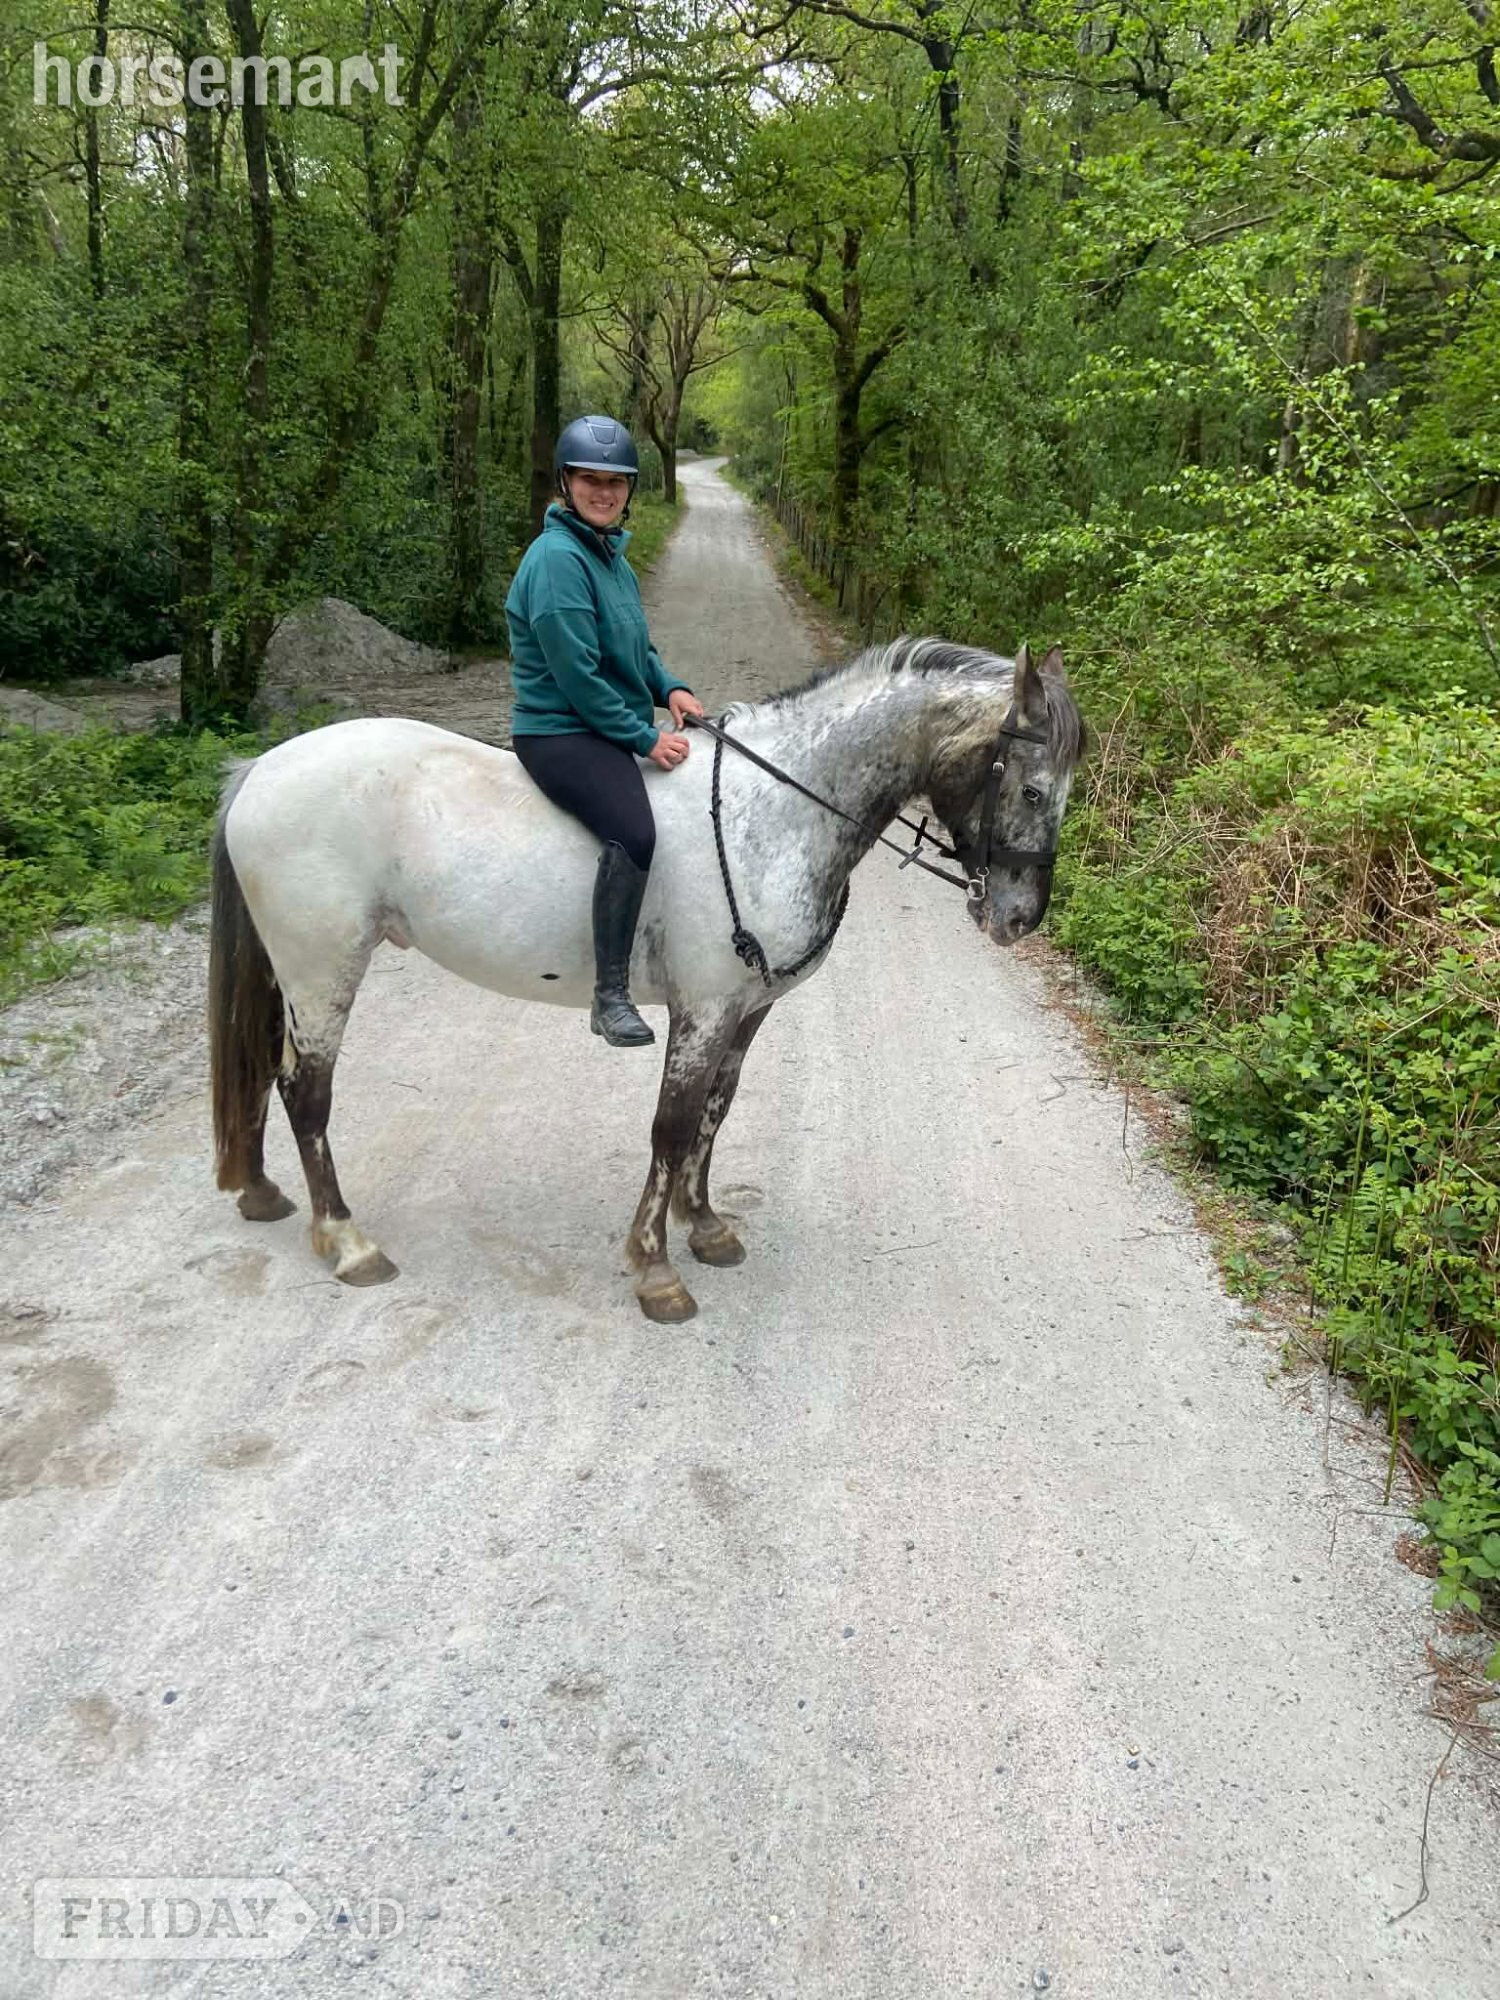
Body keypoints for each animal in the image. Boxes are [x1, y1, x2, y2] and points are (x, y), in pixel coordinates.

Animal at [208, 636, 1086, 1322]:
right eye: (1032, 788)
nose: (1019, 920)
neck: (772, 812)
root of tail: (261, 769)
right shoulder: (704, 1007)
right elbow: (672, 1124)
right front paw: (656, 1269)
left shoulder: (746, 1009)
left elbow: (714, 1116)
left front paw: (707, 1228)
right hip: (322, 968)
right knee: (306, 1091)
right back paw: (348, 1241)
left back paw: (263, 1194)